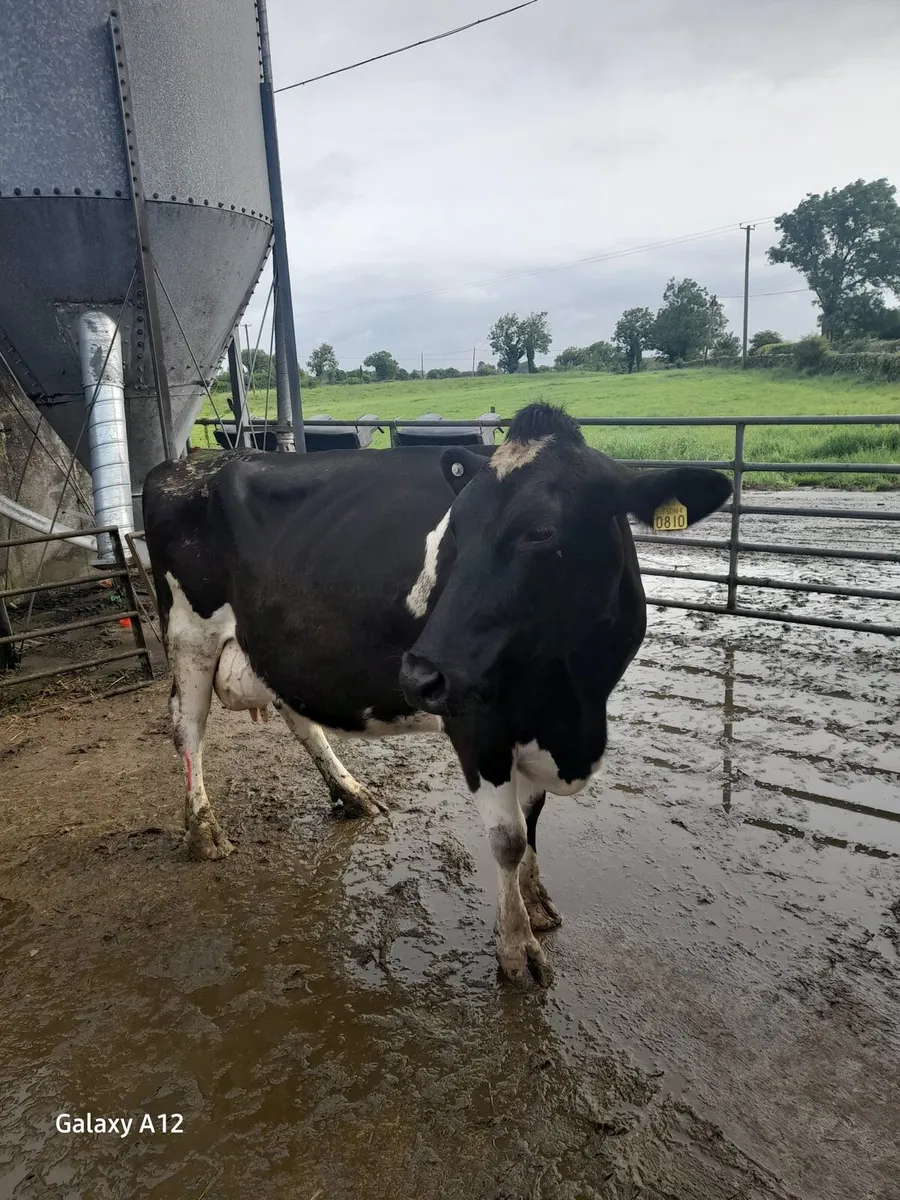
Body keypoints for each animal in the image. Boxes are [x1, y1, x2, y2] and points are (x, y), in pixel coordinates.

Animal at [143, 402, 731, 985]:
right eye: (456, 533)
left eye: (541, 532)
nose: (419, 676)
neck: (573, 702)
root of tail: (188, 462)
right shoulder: (478, 723)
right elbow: (509, 838)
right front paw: (516, 948)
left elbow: (533, 820)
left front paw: (537, 903)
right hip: (188, 634)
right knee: (187, 726)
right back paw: (203, 830)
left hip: (278, 647)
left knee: (299, 717)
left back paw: (352, 794)